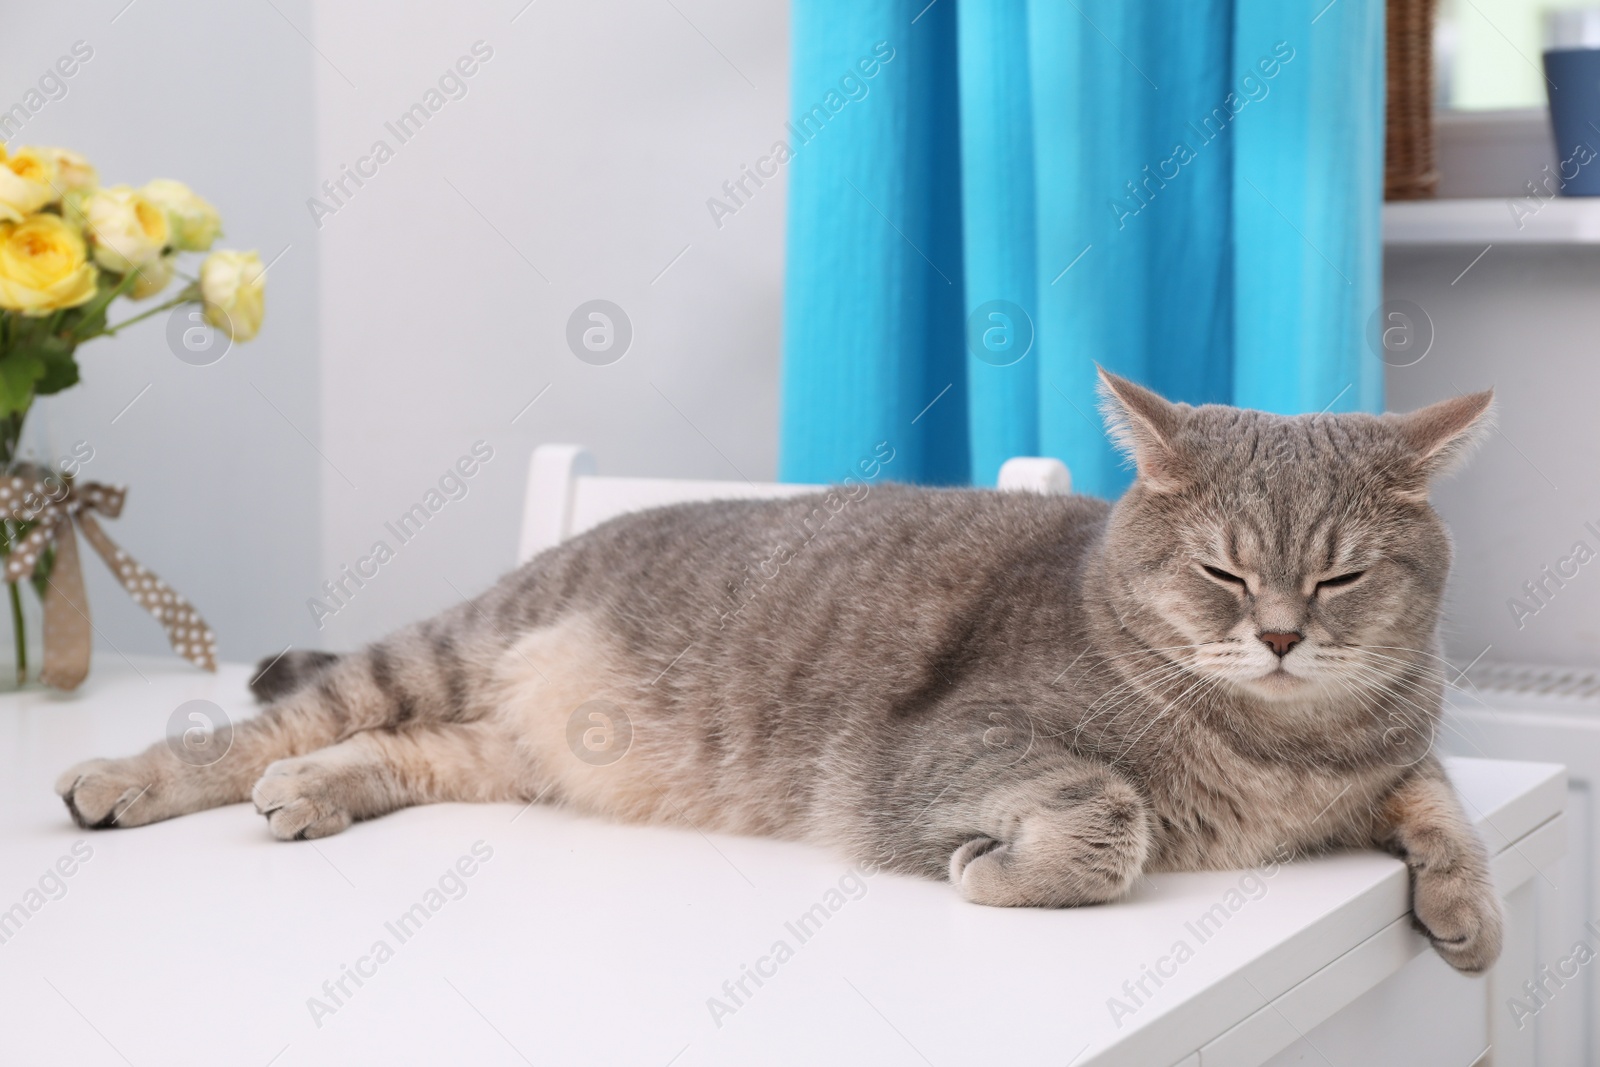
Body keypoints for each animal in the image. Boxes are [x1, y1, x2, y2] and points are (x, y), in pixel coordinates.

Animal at [50, 374, 1497, 979]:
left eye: (1340, 578)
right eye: (1222, 571)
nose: (1282, 635)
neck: (1281, 744)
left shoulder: (1399, 751)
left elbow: (1444, 802)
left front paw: (1467, 909)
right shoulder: (931, 754)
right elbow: (1110, 814)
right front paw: (1001, 867)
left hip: (503, 747)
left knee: (387, 750)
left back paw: (313, 790)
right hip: (444, 648)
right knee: (265, 726)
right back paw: (121, 776)